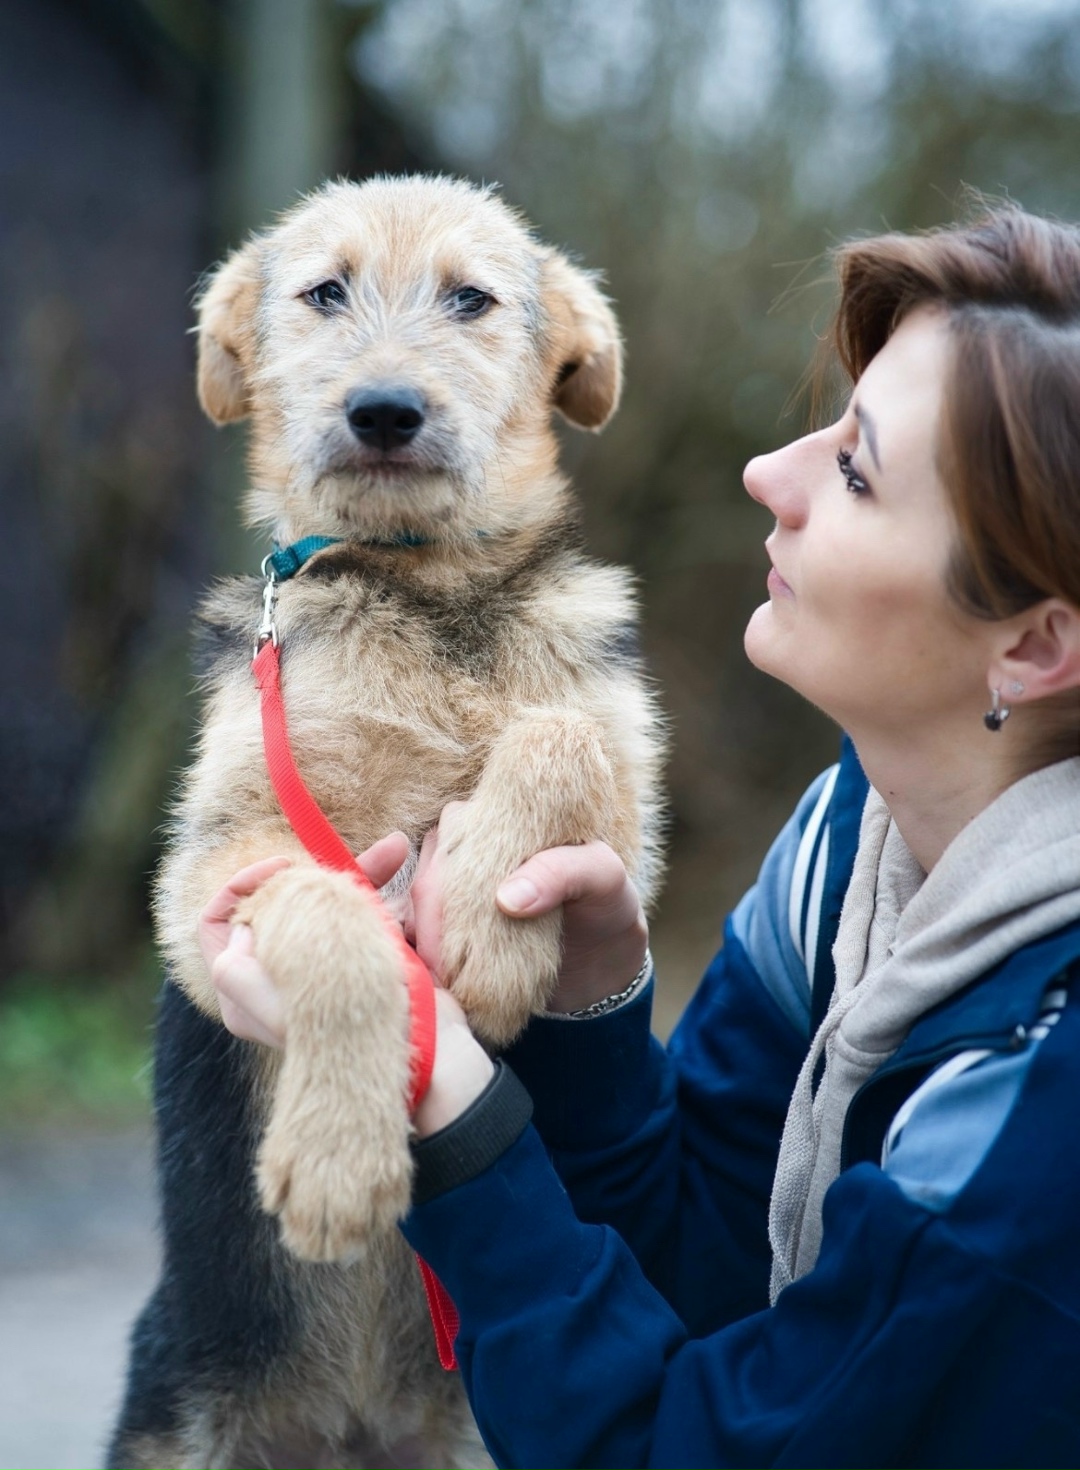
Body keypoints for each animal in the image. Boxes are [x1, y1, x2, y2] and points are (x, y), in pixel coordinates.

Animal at [109, 175, 665, 1470]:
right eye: (324, 292)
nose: (384, 412)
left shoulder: (629, 811)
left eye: (472, 299)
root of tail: (354, 1432)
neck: (425, 594)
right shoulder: (217, 867)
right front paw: (335, 1159)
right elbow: (329, 909)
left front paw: (488, 931)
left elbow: (558, 736)